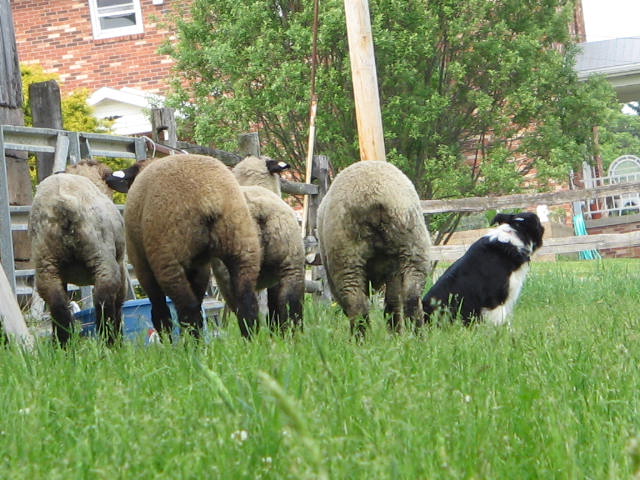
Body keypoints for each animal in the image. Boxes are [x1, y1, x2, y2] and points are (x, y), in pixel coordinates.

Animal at [29, 160, 127, 345]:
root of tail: (63, 203)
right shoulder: (120, 264)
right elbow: (119, 301)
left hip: (46, 262)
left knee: (57, 304)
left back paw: (62, 345)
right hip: (102, 256)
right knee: (103, 299)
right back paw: (110, 343)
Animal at [108, 154, 261, 339]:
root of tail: (209, 197)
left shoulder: (141, 265)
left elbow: (160, 310)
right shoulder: (200, 266)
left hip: (168, 257)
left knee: (186, 309)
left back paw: (189, 343)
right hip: (242, 245)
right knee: (246, 300)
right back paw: (251, 339)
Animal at [316, 160, 432, 336]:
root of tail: (374, 196)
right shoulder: (393, 269)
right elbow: (393, 302)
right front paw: (396, 334)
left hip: (346, 257)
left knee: (356, 304)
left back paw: (360, 339)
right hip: (413, 246)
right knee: (411, 296)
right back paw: (417, 336)